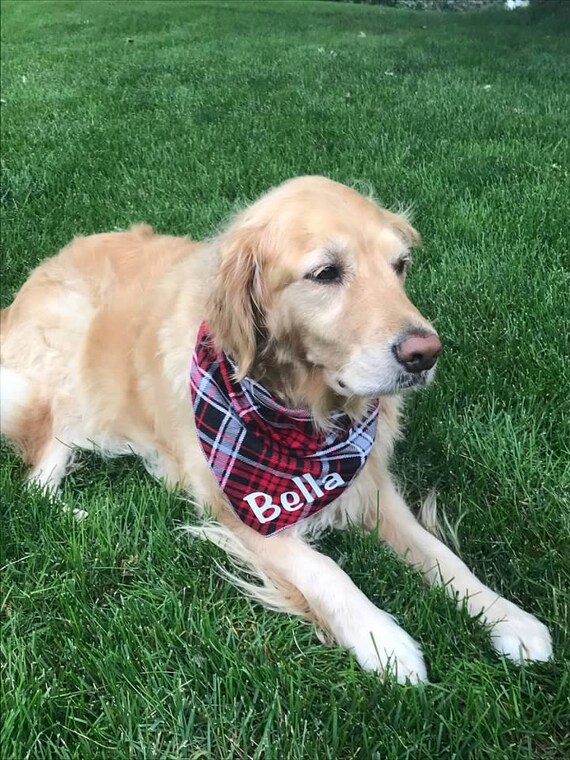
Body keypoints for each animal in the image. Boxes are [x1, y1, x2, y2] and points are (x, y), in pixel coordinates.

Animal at [0, 178, 552, 684]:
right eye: (326, 273)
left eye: (400, 266)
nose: (425, 354)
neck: (301, 416)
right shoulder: (237, 508)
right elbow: (326, 570)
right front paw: (384, 640)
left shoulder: (370, 485)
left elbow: (442, 557)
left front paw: (509, 617)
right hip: (70, 365)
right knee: (38, 474)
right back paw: (84, 515)